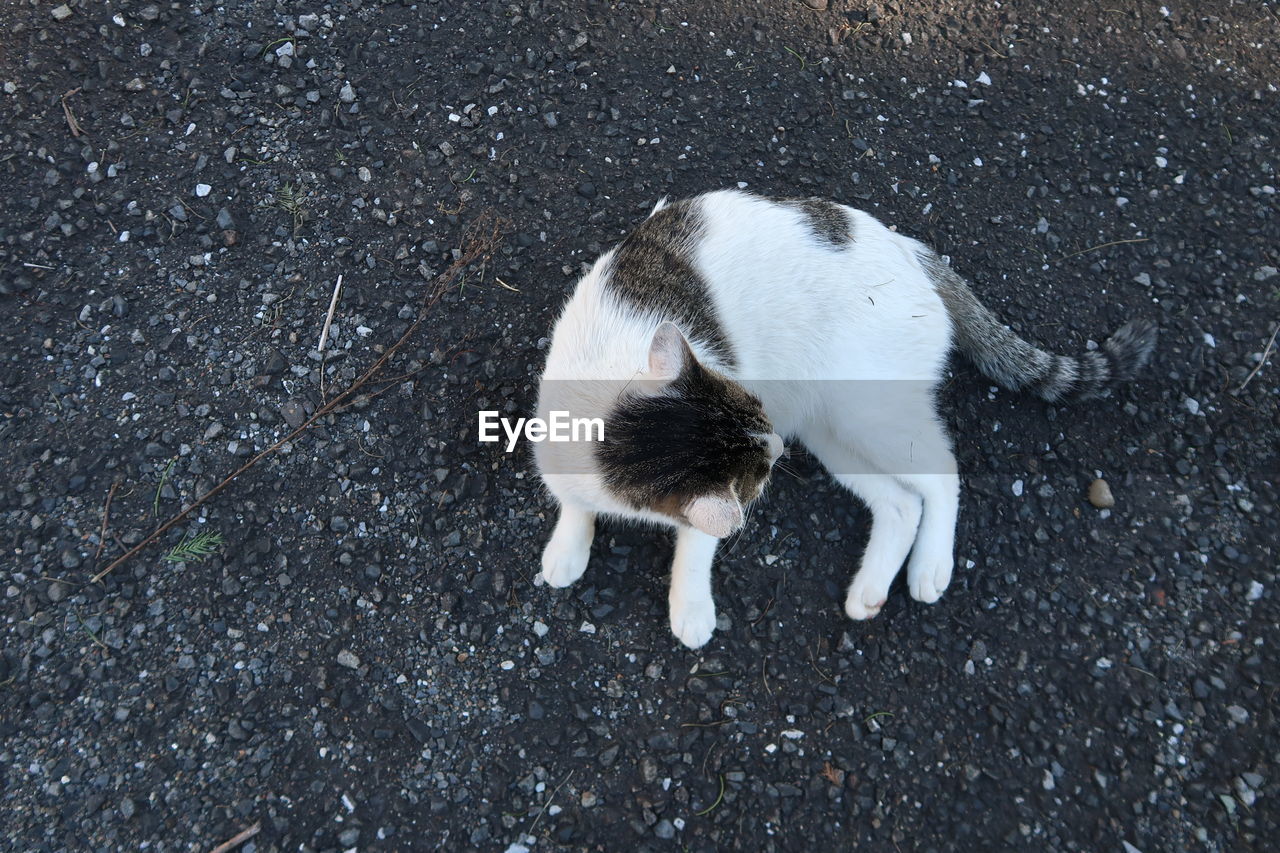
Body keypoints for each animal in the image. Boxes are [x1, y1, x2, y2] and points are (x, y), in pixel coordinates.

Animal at [529, 189, 1162, 648]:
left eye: (750, 400)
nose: (776, 444)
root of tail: (908, 250)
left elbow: (697, 544)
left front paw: (691, 607)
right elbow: (573, 503)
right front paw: (568, 547)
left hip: (871, 413)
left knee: (943, 474)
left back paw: (931, 565)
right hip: (831, 431)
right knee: (901, 503)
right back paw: (871, 589)